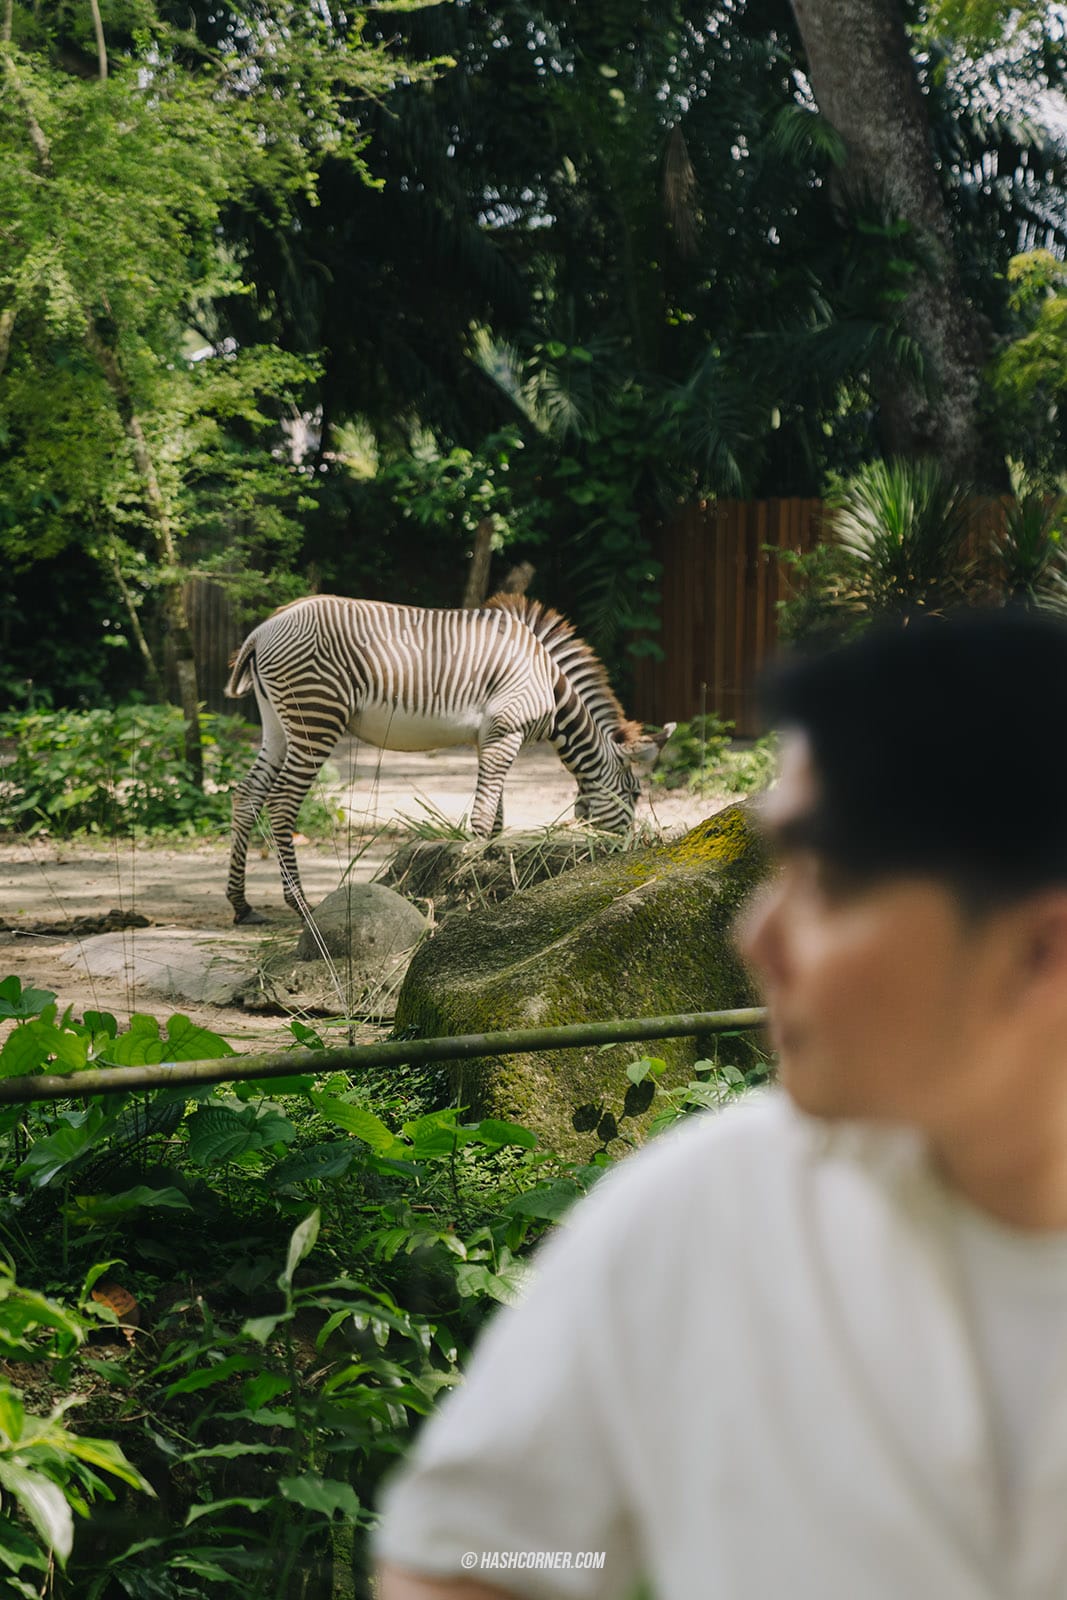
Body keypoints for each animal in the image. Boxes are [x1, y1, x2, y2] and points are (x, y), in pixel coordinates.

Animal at [223, 592, 675, 928]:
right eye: (635, 794)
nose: (626, 850)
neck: (549, 684)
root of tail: (263, 630)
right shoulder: (505, 732)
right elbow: (482, 820)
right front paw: (474, 888)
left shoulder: (490, 738)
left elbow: (497, 820)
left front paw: (490, 882)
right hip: (316, 716)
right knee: (282, 802)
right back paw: (301, 905)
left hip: (277, 724)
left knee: (247, 795)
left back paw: (242, 905)